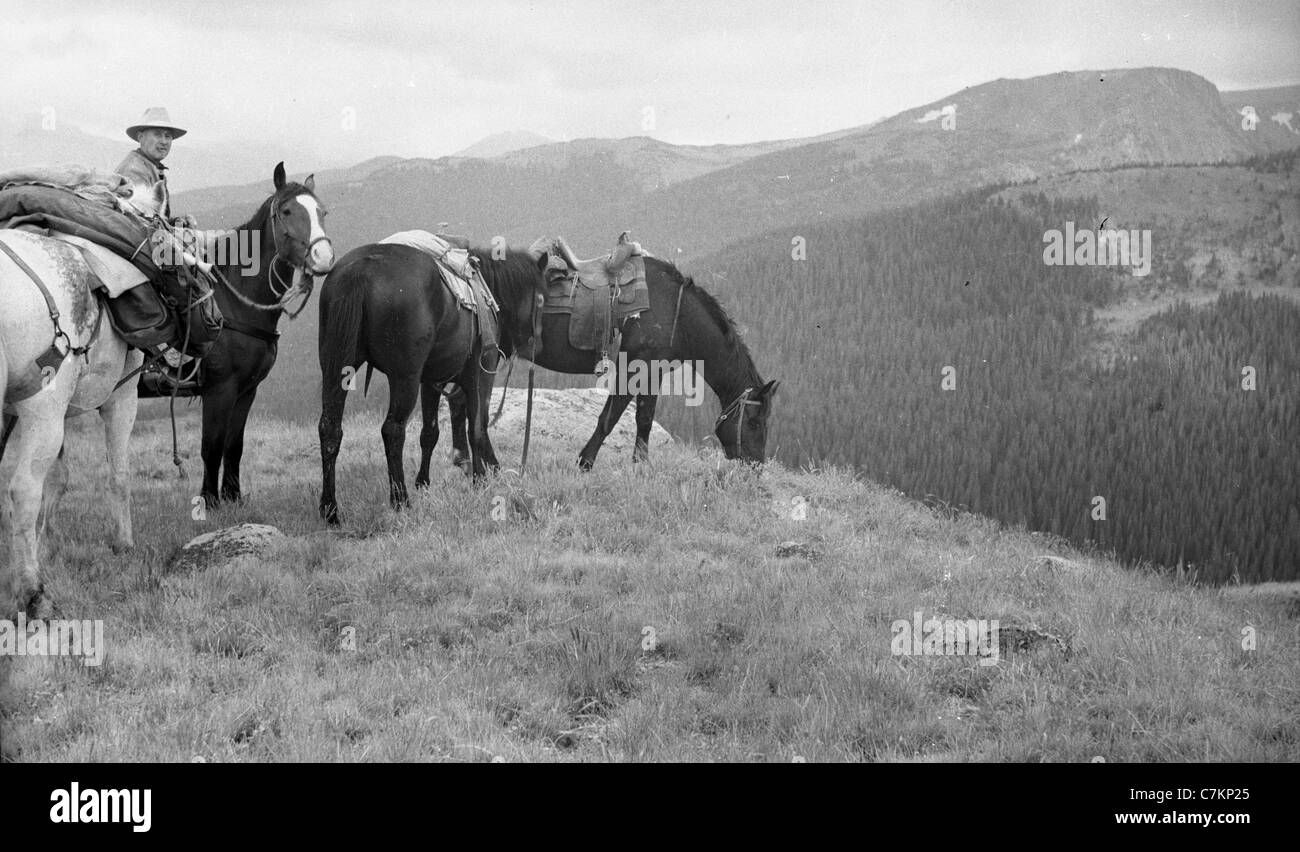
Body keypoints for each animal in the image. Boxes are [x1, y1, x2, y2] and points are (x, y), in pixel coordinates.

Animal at [1, 228, 144, 619]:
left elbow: (58, 479)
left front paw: (46, 546)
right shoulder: (121, 396)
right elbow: (119, 475)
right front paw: (124, 543)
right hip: (44, 407)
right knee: (24, 488)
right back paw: (33, 595)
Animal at [198, 163, 335, 509]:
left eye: (322, 211)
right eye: (286, 211)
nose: (324, 257)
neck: (232, 302)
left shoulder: (246, 390)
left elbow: (233, 445)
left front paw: (233, 497)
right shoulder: (218, 389)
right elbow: (212, 445)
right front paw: (209, 501)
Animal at [321, 236, 553, 522]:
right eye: (541, 298)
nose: (538, 347)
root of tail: (361, 269)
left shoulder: (431, 380)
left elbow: (429, 432)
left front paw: (424, 483)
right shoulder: (480, 372)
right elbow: (477, 425)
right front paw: (482, 478)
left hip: (336, 369)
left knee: (330, 429)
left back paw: (330, 509)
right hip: (404, 378)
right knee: (392, 430)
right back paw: (400, 500)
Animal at [447, 247, 774, 470]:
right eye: (754, 422)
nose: (756, 467)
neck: (675, 313)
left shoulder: (654, 371)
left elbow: (644, 419)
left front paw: (640, 465)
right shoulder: (634, 369)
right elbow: (610, 418)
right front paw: (586, 462)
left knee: (460, 402)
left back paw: (464, 460)